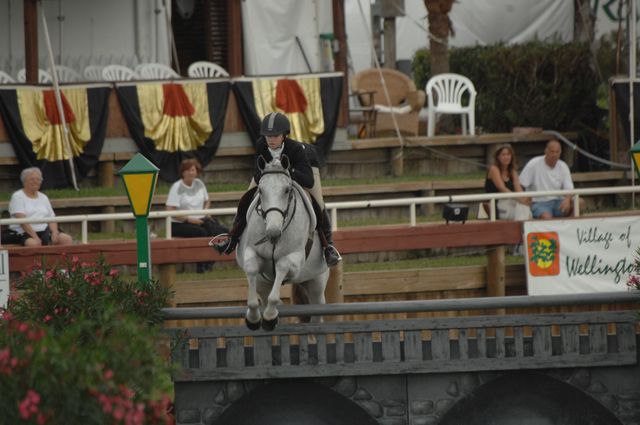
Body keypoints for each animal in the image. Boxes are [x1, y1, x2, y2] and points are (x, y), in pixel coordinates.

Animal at [235, 156, 329, 331]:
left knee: (317, 310)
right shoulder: (251, 252)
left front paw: (269, 317)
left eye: (286, 190)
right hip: (263, 284)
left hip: (317, 282)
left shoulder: (295, 259)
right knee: (266, 295)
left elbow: (282, 266)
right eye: (260, 190)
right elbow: (251, 269)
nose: (273, 233)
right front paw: (254, 319)